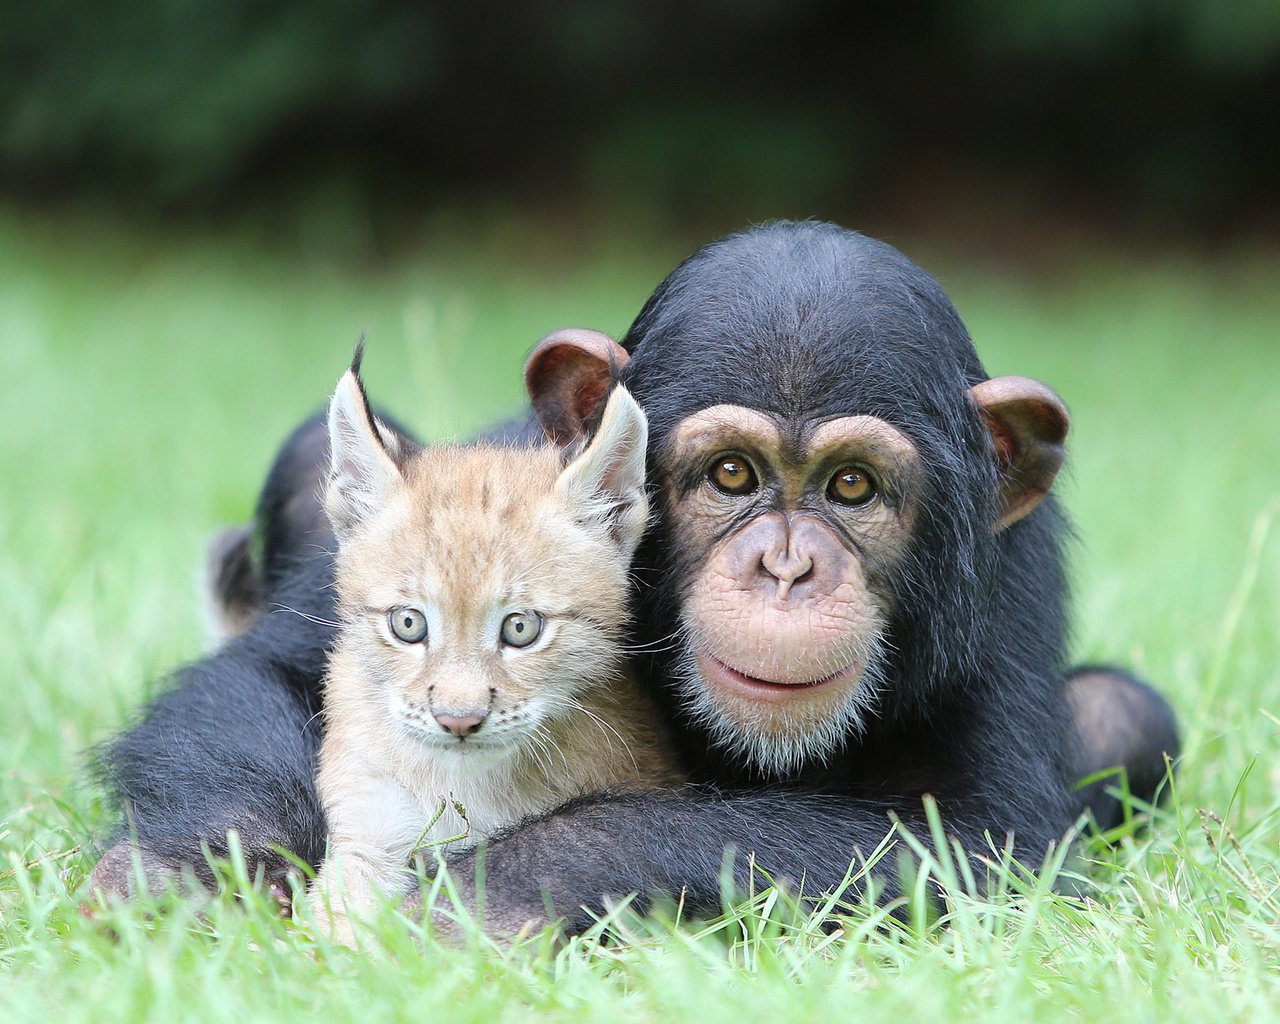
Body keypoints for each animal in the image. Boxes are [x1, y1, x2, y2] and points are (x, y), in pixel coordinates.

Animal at [90, 220, 1172, 931]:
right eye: (731, 474)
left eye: (851, 486)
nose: (786, 568)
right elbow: (262, 677)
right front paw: (184, 872)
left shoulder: (1002, 596)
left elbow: (979, 843)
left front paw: (489, 892)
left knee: (1126, 712)